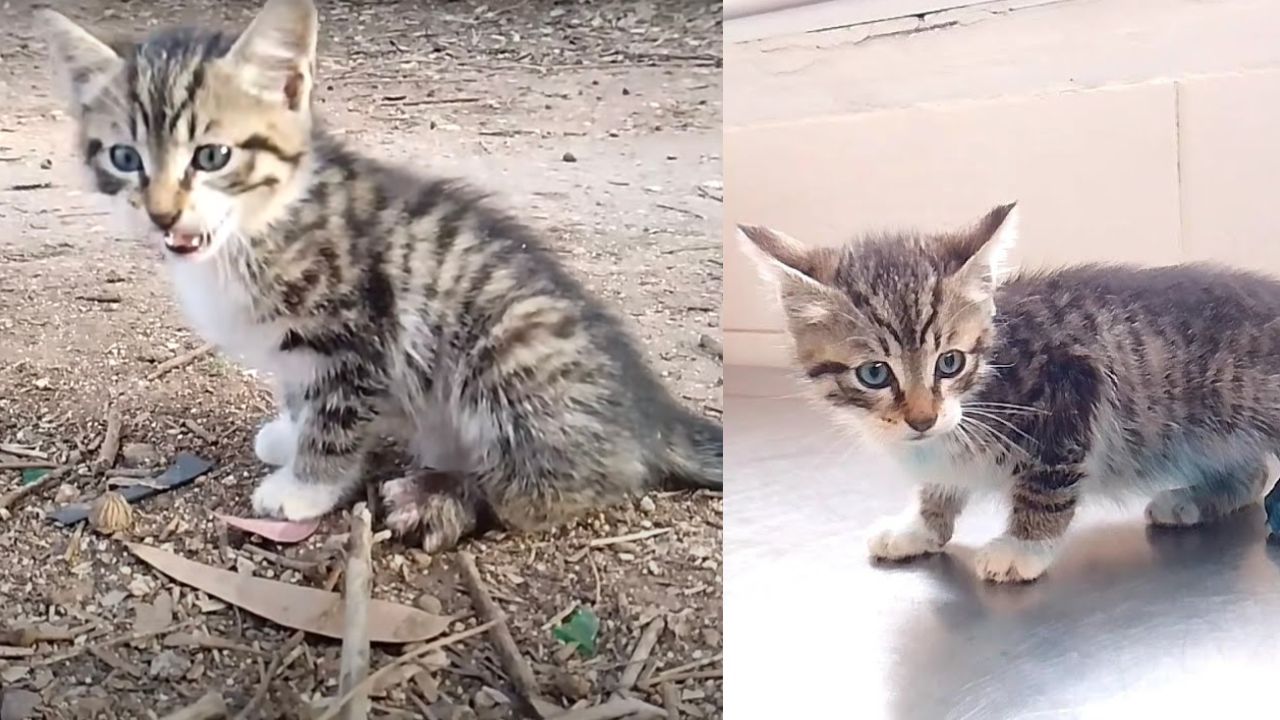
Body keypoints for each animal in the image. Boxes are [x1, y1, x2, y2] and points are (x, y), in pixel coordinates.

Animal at [45, 0, 727, 548]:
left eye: (212, 156)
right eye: (124, 157)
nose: (162, 213)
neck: (260, 224)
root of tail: (650, 413)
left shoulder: (356, 335)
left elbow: (336, 417)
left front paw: (305, 485)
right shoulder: (299, 348)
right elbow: (300, 394)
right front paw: (289, 435)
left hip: (507, 350)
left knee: (561, 486)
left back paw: (443, 496)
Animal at [742, 203, 1280, 584]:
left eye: (950, 363)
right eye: (875, 373)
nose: (922, 418)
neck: (985, 381)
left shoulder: (1073, 386)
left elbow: (1046, 483)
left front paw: (1023, 547)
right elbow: (938, 484)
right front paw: (919, 527)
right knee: (1253, 473)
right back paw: (1195, 500)